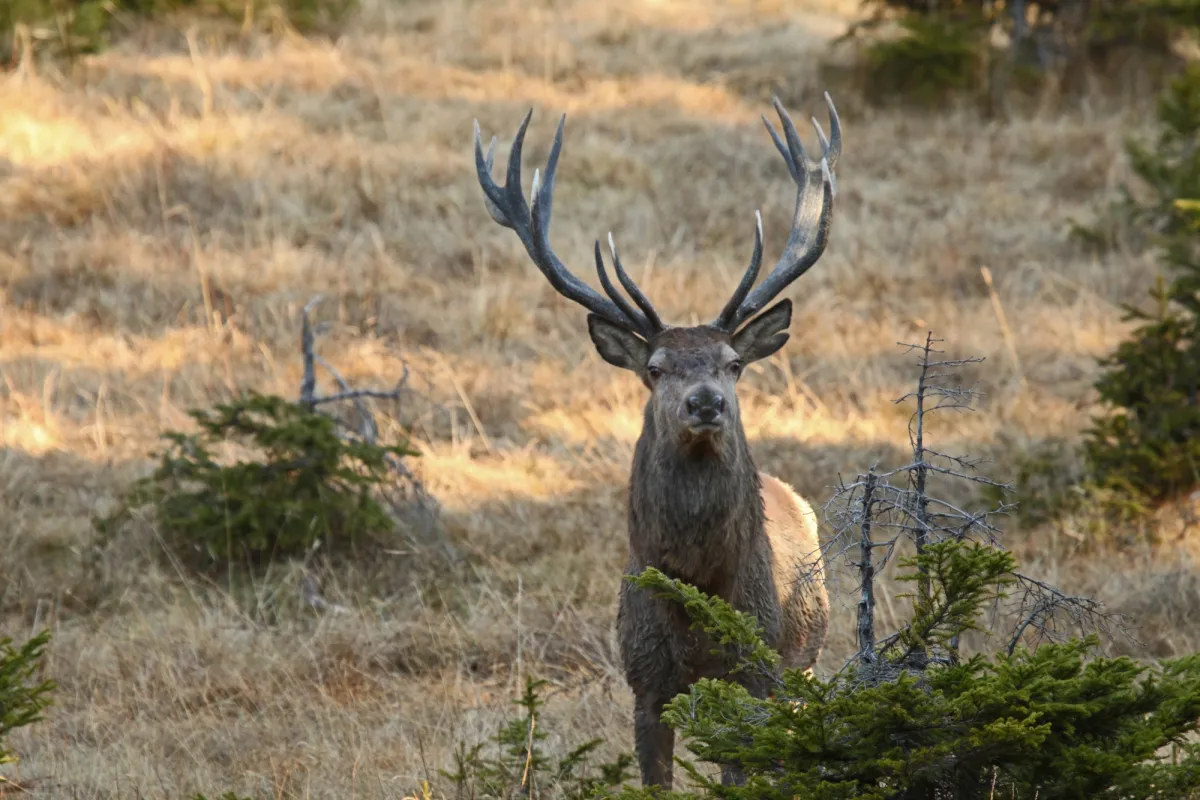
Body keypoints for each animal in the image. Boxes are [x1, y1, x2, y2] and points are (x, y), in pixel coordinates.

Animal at [472, 93, 840, 789]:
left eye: (733, 363)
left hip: (803, 663)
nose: (706, 402)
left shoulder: (754, 673)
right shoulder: (643, 682)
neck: (697, 597)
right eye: (656, 367)